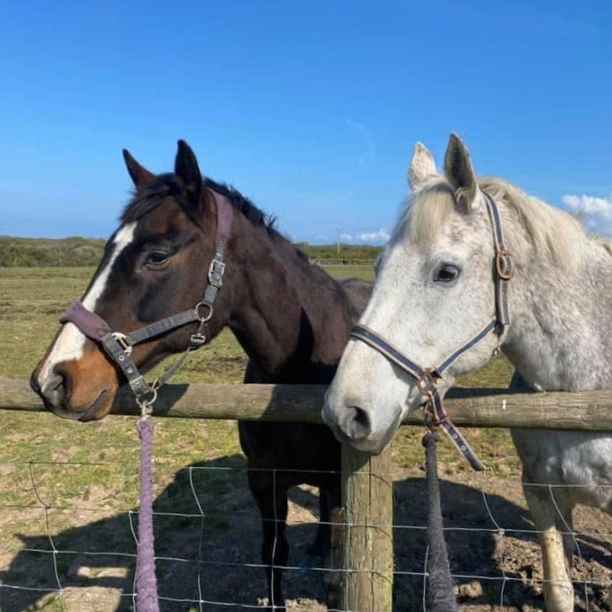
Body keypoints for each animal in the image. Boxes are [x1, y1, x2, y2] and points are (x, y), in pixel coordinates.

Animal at [30, 140, 371, 609]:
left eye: (158, 255)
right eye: (106, 249)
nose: (53, 379)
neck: (298, 378)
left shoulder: (341, 483)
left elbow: (341, 568)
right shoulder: (264, 482)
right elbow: (274, 556)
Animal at [323, 133, 612, 611]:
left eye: (446, 272)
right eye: (379, 267)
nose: (345, 412)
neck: (582, 395)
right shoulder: (540, 493)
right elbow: (559, 588)